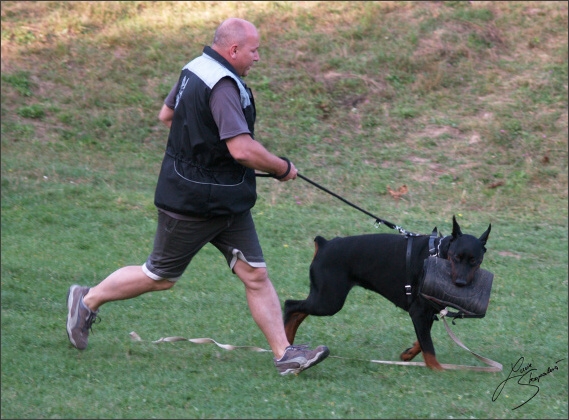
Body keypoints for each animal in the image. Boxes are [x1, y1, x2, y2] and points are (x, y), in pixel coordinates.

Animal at [284, 215, 488, 370]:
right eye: (456, 257)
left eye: (474, 261)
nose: (460, 283)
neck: (438, 254)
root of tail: (324, 244)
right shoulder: (419, 312)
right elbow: (429, 348)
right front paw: (438, 370)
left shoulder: (428, 312)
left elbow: (422, 341)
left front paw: (408, 354)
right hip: (329, 300)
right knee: (290, 305)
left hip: (323, 297)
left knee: (298, 312)